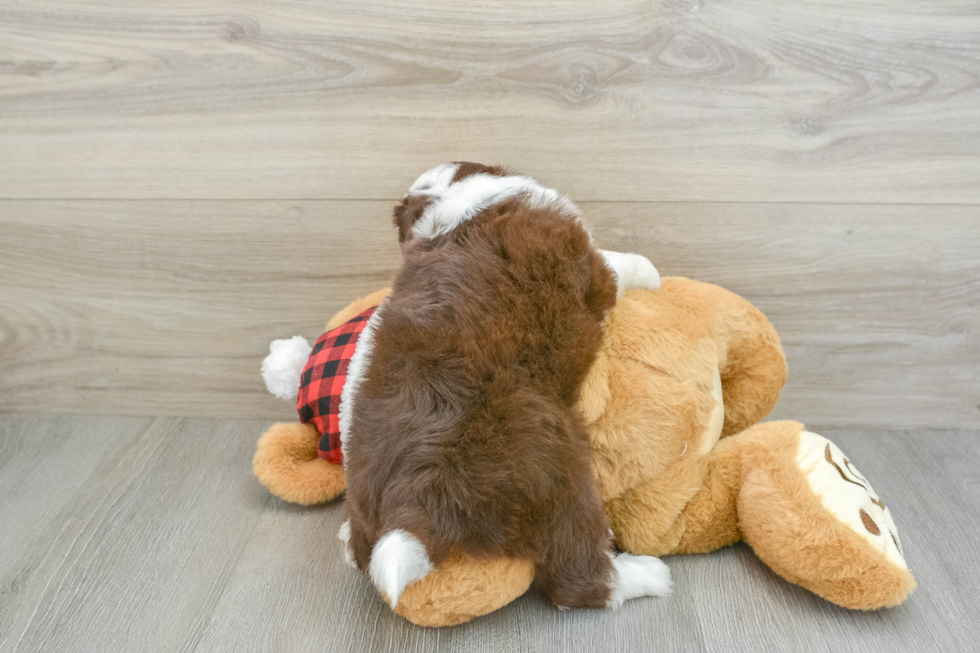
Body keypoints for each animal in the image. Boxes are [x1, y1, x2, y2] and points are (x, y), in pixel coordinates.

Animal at [336, 163, 668, 612]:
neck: (454, 201)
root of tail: (411, 503)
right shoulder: (591, 265)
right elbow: (620, 265)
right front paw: (650, 273)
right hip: (551, 471)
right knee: (576, 574)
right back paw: (647, 576)